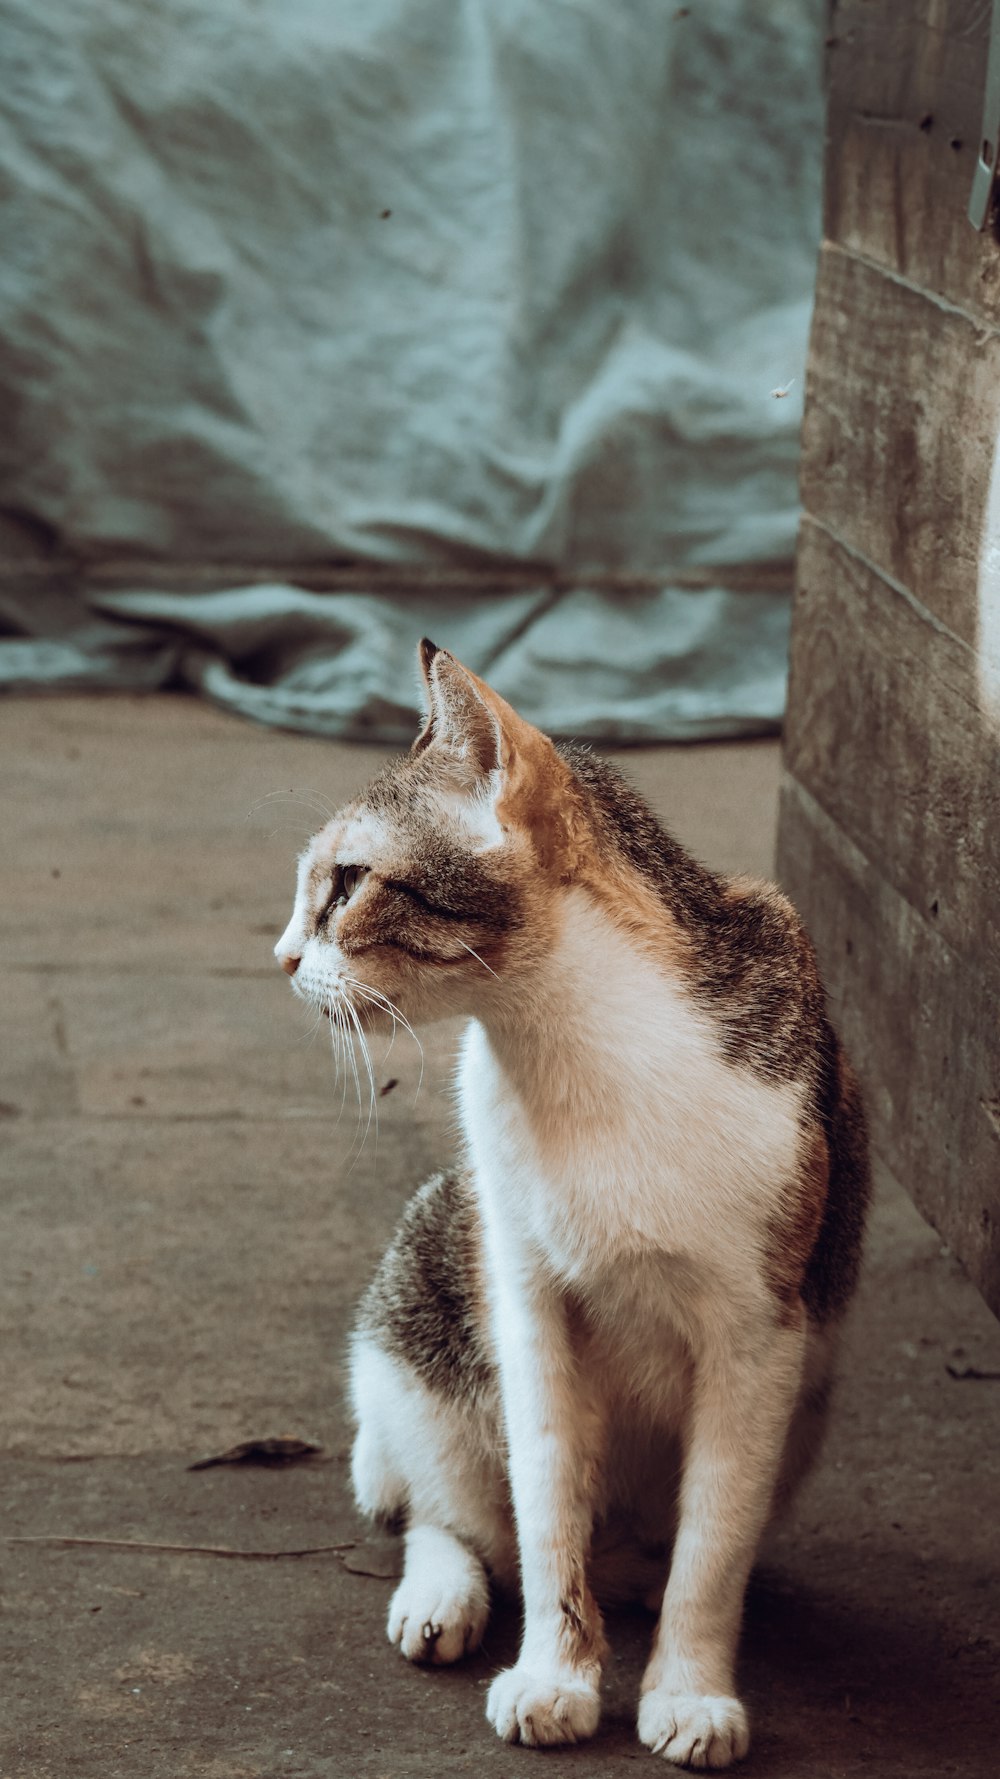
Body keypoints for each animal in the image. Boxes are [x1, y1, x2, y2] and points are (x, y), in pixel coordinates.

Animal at [272, 640, 864, 1764]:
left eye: (349, 881)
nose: (280, 960)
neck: (570, 1040)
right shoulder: (526, 1294)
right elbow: (545, 1507)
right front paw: (554, 1672)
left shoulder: (761, 1334)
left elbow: (715, 1539)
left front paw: (687, 1690)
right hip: (419, 1315)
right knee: (445, 1509)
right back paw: (444, 1595)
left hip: (812, 1393)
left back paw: (632, 1575)